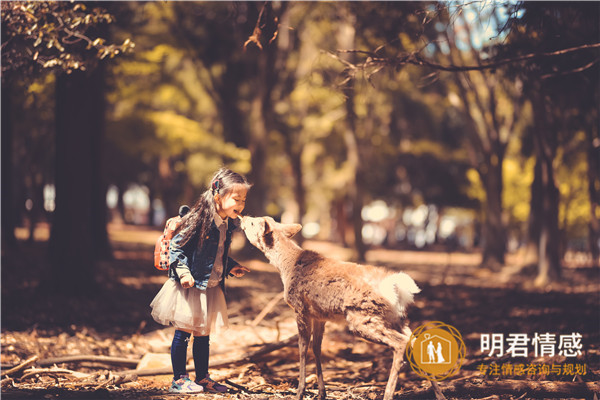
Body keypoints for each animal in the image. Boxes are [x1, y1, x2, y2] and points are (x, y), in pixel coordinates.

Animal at [240, 216, 422, 400]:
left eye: (254, 223)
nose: (244, 217)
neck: (286, 267)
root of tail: (397, 288)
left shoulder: (300, 307)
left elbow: (302, 347)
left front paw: (300, 391)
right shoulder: (319, 316)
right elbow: (316, 347)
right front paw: (322, 392)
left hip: (363, 317)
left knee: (401, 343)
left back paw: (388, 393)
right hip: (397, 319)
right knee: (414, 339)